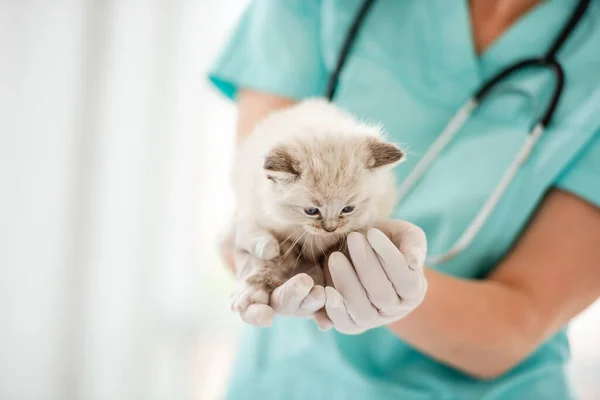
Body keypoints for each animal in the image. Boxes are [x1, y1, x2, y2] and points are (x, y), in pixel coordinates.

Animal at [229, 98, 404, 314]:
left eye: (348, 209)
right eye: (312, 211)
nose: (330, 229)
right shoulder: (276, 235)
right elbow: (267, 262)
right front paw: (252, 291)